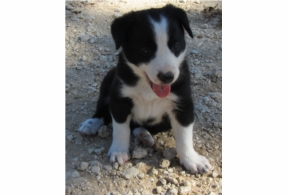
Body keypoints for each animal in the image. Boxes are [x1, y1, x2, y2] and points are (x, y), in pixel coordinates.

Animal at [79, 4, 212, 174]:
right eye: (145, 50)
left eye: (176, 46)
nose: (167, 77)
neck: (148, 88)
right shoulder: (120, 99)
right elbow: (120, 129)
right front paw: (119, 151)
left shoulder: (183, 103)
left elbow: (184, 134)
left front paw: (192, 160)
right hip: (109, 78)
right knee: (103, 110)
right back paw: (91, 124)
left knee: (136, 126)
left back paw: (144, 136)